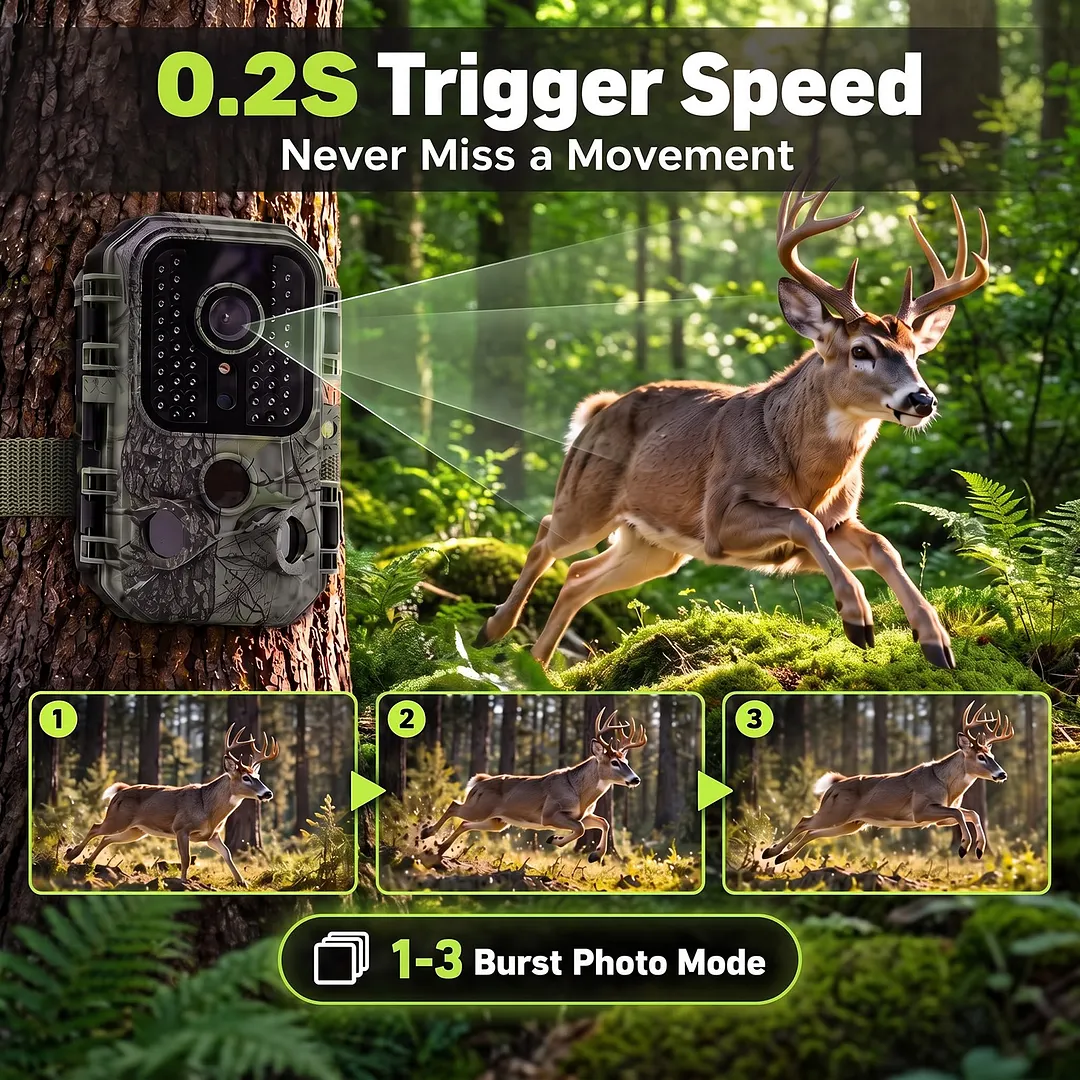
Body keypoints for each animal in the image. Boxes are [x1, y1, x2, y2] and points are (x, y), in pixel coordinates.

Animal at [65, 724, 279, 888]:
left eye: (258, 776)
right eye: (246, 778)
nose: (268, 793)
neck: (208, 810)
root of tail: (119, 792)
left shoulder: (211, 836)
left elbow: (227, 854)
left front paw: (242, 881)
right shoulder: (181, 828)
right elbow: (185, 858)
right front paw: (183, 881)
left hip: (136, 830)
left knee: (107, 838)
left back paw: (88, 861)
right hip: (118, 818)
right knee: (95, 827)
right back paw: (71, 854)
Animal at [421, 708, 647, 862]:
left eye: (627, 761)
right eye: (614, 762)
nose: (635, 779)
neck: (579, 794)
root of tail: (479, 782)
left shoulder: (583, 814)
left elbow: (604, 822)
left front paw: (594, 855)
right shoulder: (549, 813)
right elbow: (581, 828)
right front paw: (554, 839)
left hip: (497, 821)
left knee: (464, 824)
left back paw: (440, 848)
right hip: (480, 807)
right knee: (453, 806)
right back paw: (427, 833)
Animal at [475, 184, 990, 669]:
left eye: (917, 354)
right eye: (860, 350)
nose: (922, 399)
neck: (806, 475)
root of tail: (598, 410)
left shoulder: (836, 524)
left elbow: (883, 545)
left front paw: (936, 641)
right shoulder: (721, 518)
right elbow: (801, 520)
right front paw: (857, 620)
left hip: (654, 546)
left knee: (578, 577)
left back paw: (538, 667)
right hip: (587, 499)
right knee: (546, 536)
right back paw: (493, 630)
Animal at [761, 702, 1014, 865]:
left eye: (992, 755)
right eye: (980, 756)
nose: (1002, 774)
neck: (946, 786)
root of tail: (833, 786)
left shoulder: (938, 818)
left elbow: (971, 813)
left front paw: (979, 849)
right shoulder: (920, 811)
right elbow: (961, 813)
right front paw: (964, 847)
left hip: (852, 823)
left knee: (813, 832)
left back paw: (780, 857)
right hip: (836, 811)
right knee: (805, 821)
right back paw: (769, 852)